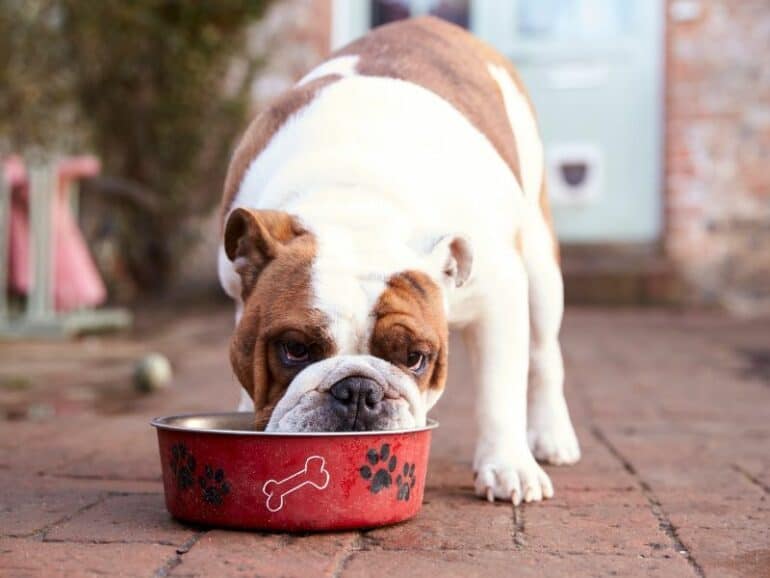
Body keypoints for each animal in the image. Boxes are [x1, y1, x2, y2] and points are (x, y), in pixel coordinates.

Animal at [216, 16, 576, 504]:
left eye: (415, 358)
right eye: (294, 349)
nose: (357, 390)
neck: (356, 206)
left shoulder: (499, 296)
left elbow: (501, 389)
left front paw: (508, 467)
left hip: (539, 266)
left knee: (543, 353)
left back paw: (552, 436)